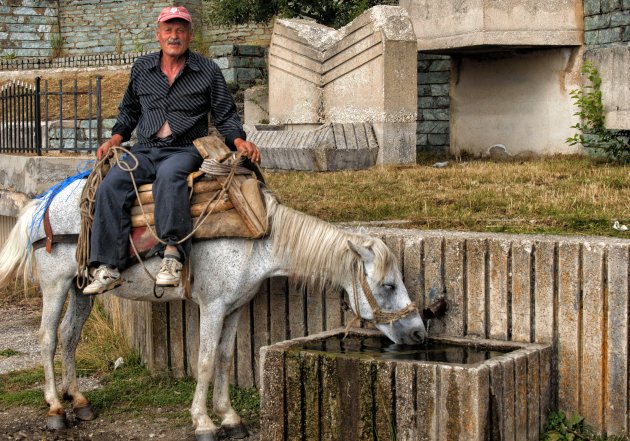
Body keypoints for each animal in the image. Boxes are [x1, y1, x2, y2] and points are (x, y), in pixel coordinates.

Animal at [0, 179, 430, 440]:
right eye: (388, 285)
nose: (418, 332)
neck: (257, 239)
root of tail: (43, 200)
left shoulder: (235, 307)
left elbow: (224, 358)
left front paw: (230, 417)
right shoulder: (213, 307)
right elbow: (205, 361)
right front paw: (204, 422)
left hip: (82, 290)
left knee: (69, 337)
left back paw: (79, 401)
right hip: (55, 286)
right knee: (47, 338)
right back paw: (56, 408)